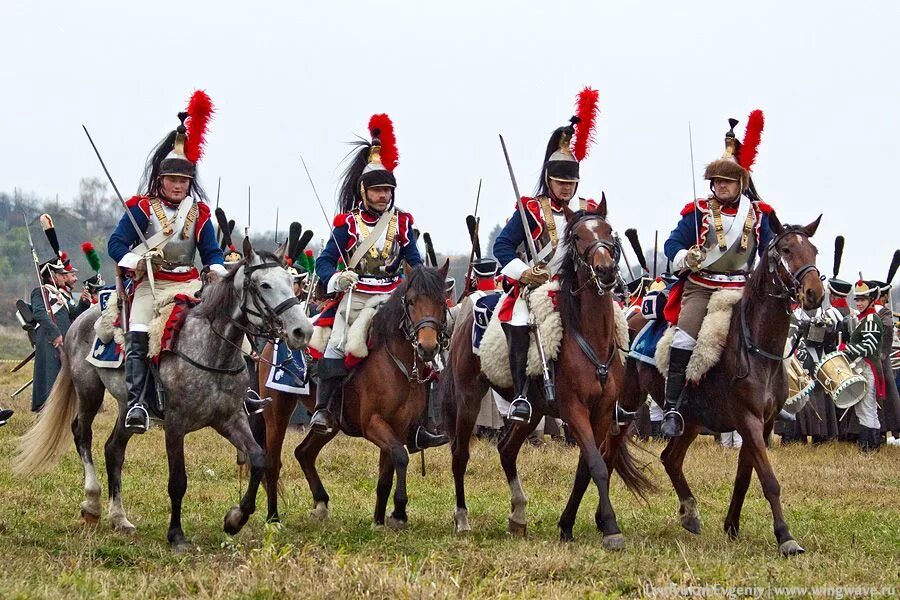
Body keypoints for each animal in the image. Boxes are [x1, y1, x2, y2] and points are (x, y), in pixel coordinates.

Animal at [9, 237, 312, 552]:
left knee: (114, 449)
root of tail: (82, 317)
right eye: (264, 285)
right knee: (82, 434)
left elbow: (258, 459)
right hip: (89, 390)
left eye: (289, 281)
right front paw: (176, 535)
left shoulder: (231, 419)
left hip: (127, 406)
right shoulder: (175, 425)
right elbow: (178, 480)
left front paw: (235, 519)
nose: (302, 331)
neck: (212, 349)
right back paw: (92, 503)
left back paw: (119, 518)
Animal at [292, 260, 450, 528]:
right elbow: (401, 456)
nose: (428, 348)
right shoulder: (373, 424)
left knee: (304, 453)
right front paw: (398, 512)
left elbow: (387, 473)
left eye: (441, 302)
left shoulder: (397, 428)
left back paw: (321, 503)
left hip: (331, 426)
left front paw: (380, 519)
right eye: (411, 301)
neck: (396, 362)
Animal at [440, 203, 652, 552]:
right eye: (577, 236)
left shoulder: (602, 413)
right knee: (460, 454)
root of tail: (466, 312)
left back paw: (518, 516)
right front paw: (610, 528)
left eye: (608, 231)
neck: (590, 337)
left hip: (534, 410)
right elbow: (596, 465)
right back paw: (461, 519)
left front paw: (567, 525)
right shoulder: (573, 410)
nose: (606, 271)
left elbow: (587, 467)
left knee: (506, 449)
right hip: (469, 397)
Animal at [568, 212, 828, 556]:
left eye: (813, 250)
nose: (814, 293)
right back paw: (604, 521)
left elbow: (745, 477)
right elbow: (769, 479)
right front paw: (785, 536)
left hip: (689, 418)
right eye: (785, 250)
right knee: (609, 454)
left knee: (670, 458)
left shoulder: (764, 424)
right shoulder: (749, 420)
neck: (756, 348)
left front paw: (732, 525)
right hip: (627, 404)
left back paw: (689, 512)